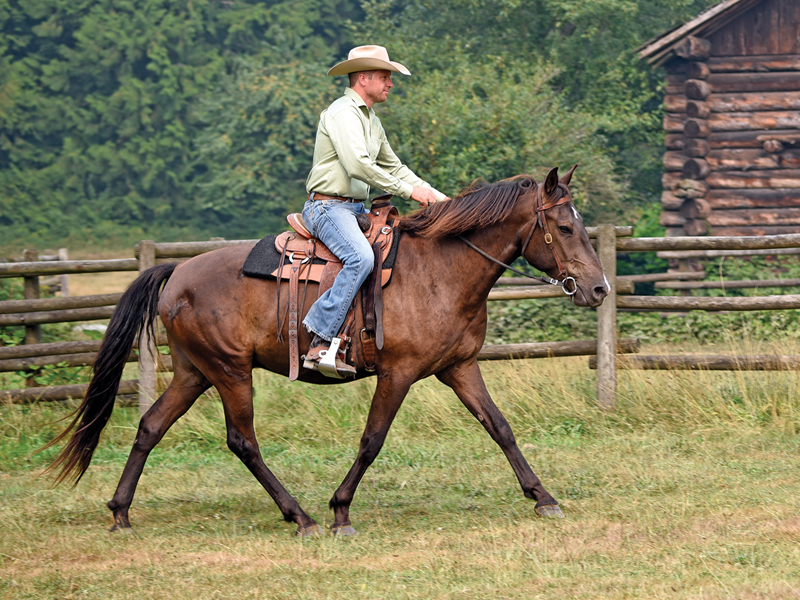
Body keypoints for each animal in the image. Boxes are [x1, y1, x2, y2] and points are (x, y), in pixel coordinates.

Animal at [46, 166, 608, 536]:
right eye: (564, 227)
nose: (599, 289)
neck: (440, 270)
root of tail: (177, 271)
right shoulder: (399, 374)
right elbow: (372, 441)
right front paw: (341, 511)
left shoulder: (459, 368)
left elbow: (500, 427)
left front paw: (543, 497)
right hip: (230, 371)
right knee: (242, 441)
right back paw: (302, 517)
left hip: (194, 372)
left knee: (150, 427)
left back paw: (120, 512)